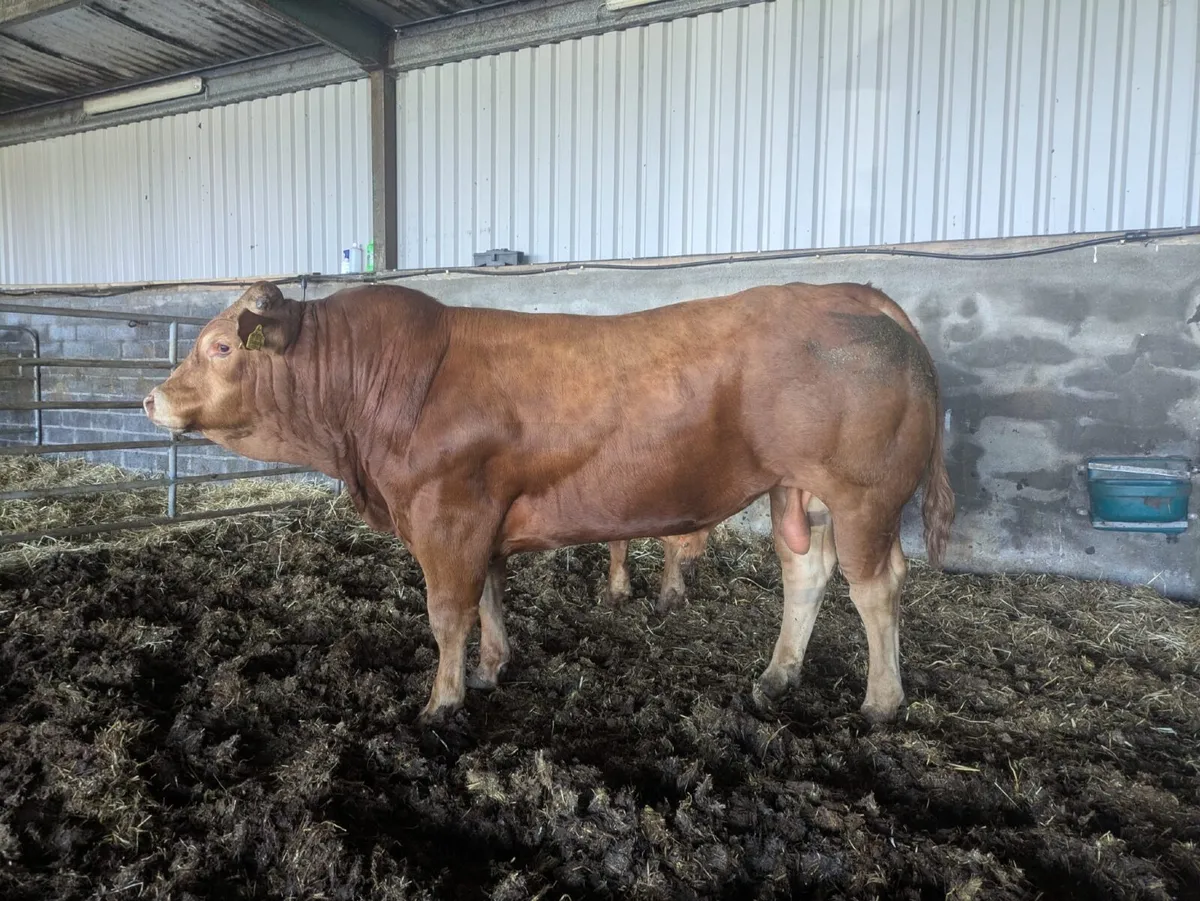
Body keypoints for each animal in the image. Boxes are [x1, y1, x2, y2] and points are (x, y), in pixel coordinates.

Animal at [144, 279, 954, 728]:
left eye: (221, 347)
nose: (151, 398)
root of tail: (844, 291)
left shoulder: (447, 513)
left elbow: (447, 611)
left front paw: (441, 702)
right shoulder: (482, 519)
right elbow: (489, 598)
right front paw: (491, 668)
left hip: (862, 493)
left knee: (876, 585)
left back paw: (881, 702)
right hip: (798, 489)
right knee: (806, 573)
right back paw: (775, 678)